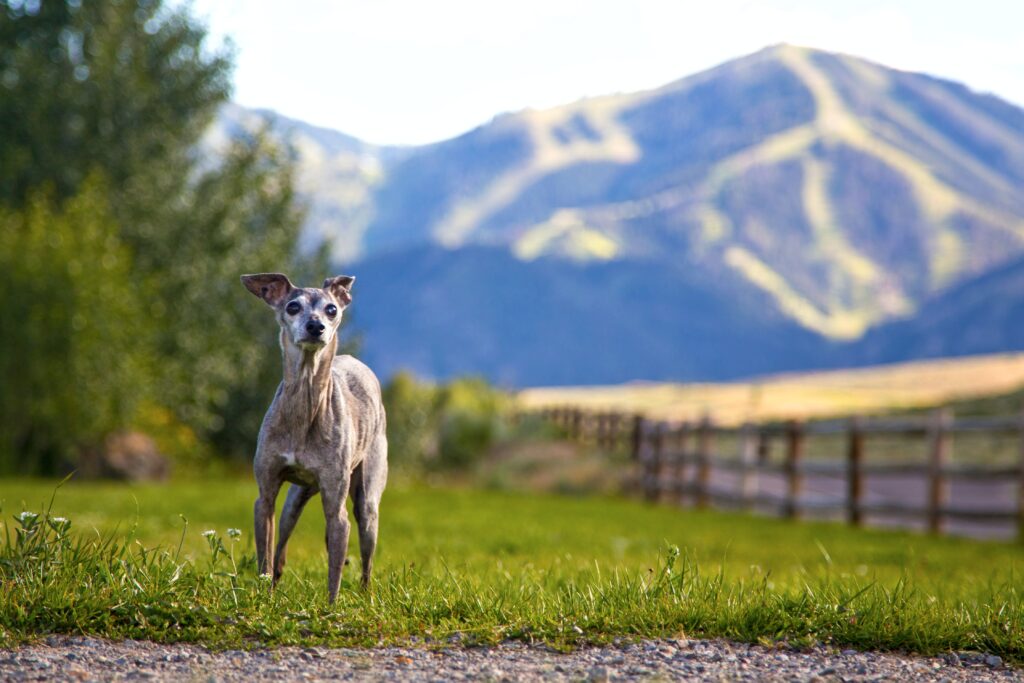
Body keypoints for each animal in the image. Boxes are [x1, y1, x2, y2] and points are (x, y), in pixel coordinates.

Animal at [239, 272, 387, 602]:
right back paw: (276, 582)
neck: (303, 409)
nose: (315, 326)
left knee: (366, 559)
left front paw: (331, 607)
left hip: (367, 502)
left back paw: (366, 596)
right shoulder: (264, 498)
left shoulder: (337, 510)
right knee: (281, 547)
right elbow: (265, 557)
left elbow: (335, 573)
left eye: (331, 309)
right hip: (294, 501)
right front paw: (264, 596)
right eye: (292, 306)